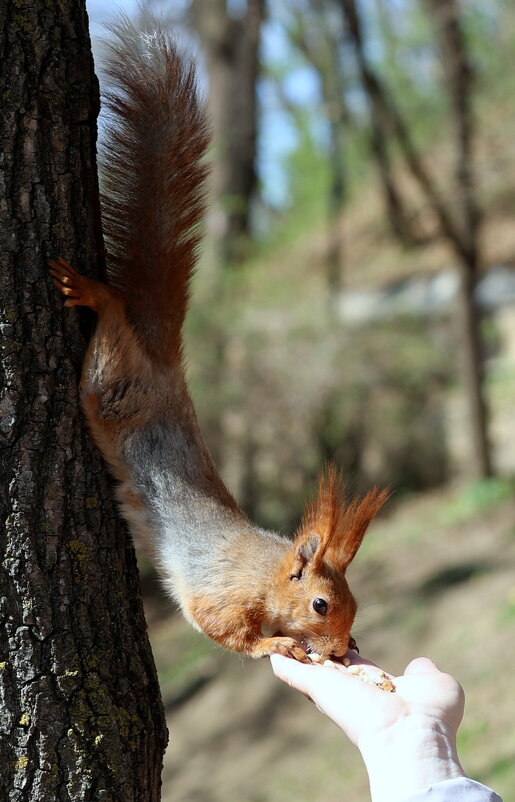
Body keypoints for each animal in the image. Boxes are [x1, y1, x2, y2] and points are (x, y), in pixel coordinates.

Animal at [49, 17, 388, 664]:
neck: (267, 575)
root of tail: (163, 361)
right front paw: (276, 644)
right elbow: (225, 632)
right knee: (108, 335)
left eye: (353, 604)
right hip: (111, 387)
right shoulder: (222, 596)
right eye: (321, 605)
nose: (340, 649)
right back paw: (98, 296)